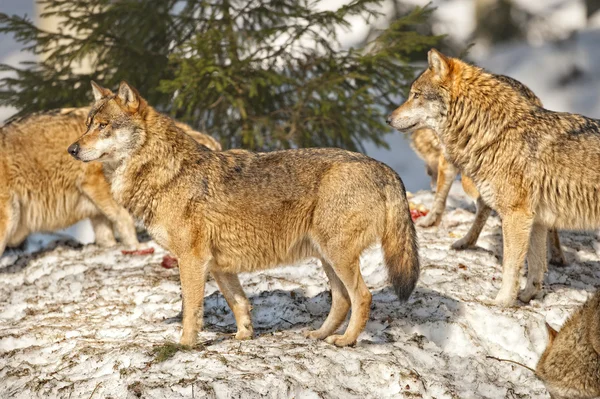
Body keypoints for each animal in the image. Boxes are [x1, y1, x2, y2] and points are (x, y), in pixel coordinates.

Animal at [68, 80, 420, 346]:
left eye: (103, 126)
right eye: (87, 125)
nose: (72, 149)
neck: (166, 173)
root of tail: (383, 167)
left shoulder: (192, 260)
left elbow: (191, 311)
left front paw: (184, 346)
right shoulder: (219, 267)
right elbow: (239, 303)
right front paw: (243, 337)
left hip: (337, 256)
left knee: (363, 296)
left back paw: (346, 341)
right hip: (326, 257)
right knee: (343, 299)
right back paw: (319, 334)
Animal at [386, 49, 596, 306]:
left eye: (415, 95)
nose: (388, 118)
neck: (492, 130)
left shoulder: (516, 215)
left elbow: (511, 266)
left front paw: (502, 302)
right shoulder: (536, 219)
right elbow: (535, 265)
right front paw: (527, 297)